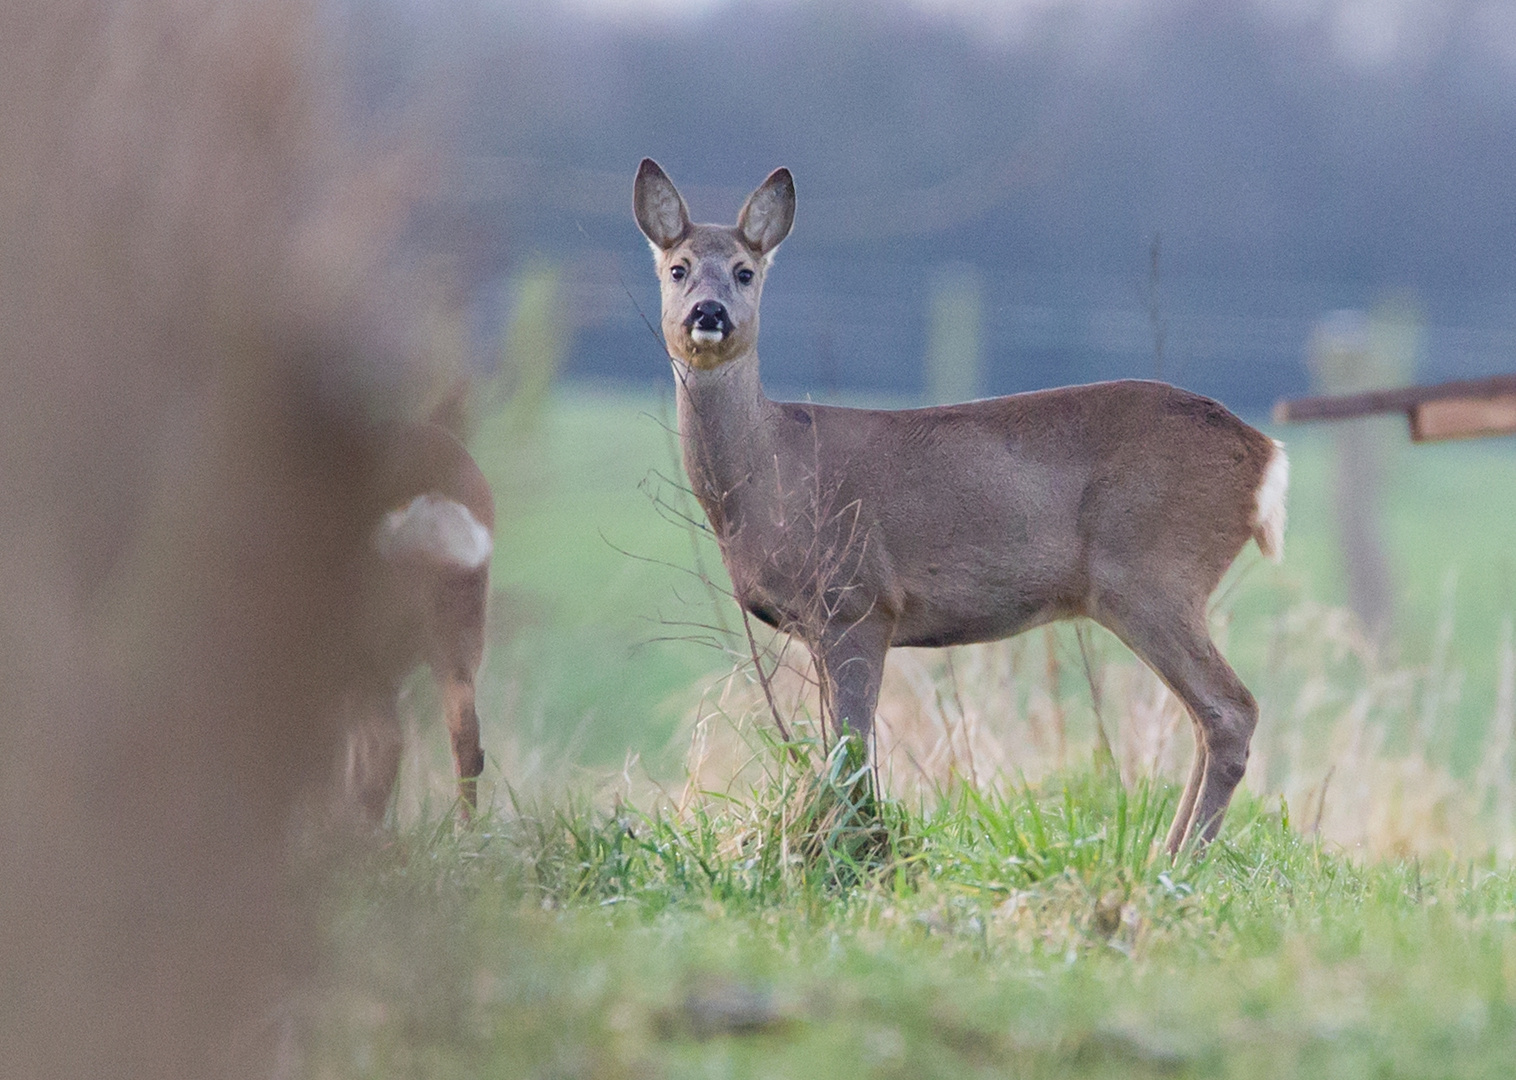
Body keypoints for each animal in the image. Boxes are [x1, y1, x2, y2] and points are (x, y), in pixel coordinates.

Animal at [633, 158, 1285, 849]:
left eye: (744, 271)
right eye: (677, 268)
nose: (708, 312)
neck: (772, 474)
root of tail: (1264, 451)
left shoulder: (858, 600)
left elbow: (851, 749)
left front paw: (856, 844)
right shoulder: (819, 624)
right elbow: (836, 745)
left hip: (1152, 574)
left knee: (1231, 711)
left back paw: (1182, 858)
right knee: (1205, 717)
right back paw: (1168, 850)